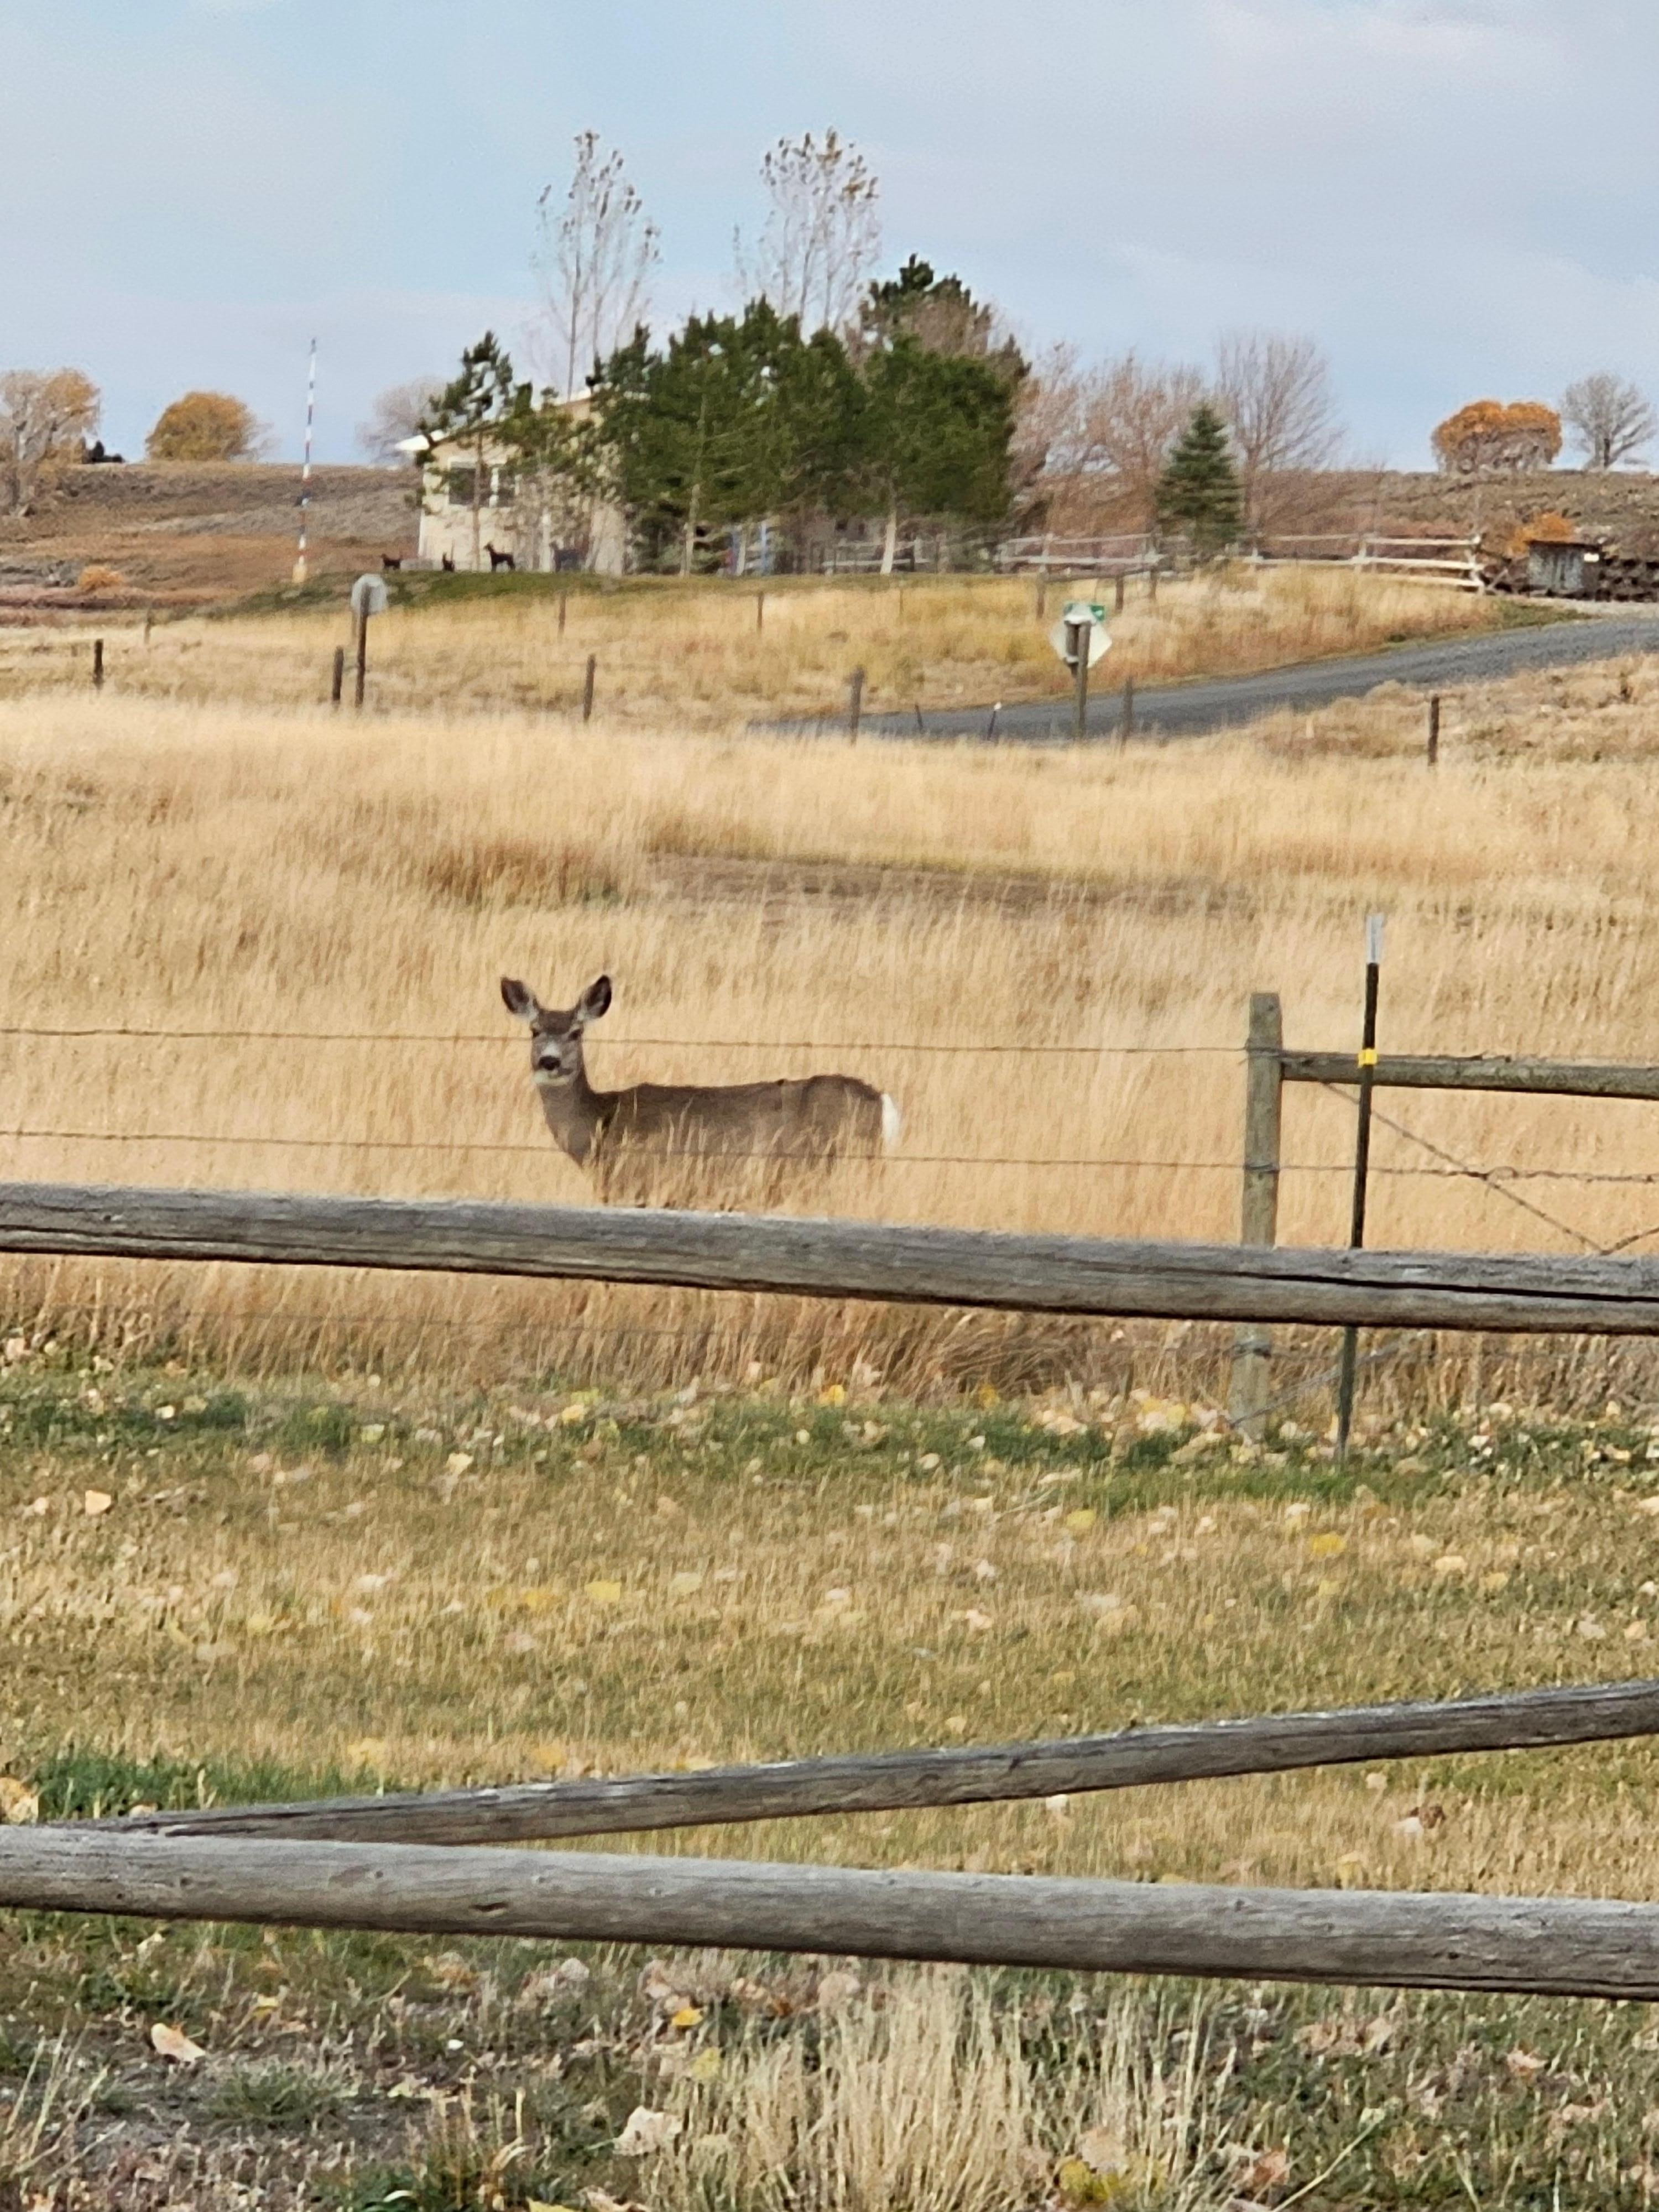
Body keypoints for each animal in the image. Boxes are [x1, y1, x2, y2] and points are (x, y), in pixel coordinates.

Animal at [501, 974, 900, 1207]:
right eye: (535, 1030)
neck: (600, 1126)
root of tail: (881, 1101)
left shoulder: (639, 1186)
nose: (549, 1062)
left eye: (576, 1033)